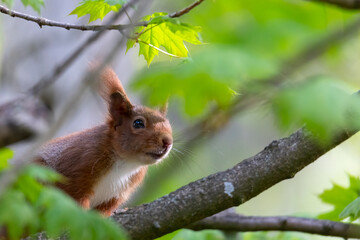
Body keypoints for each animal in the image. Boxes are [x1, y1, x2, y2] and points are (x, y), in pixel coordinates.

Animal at [33, 66, 173, 217]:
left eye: (169, 125)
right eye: (138, 123)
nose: (167, 142)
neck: (125, 162)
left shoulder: (116, 196)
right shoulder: (78, 165)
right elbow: (73, 199)